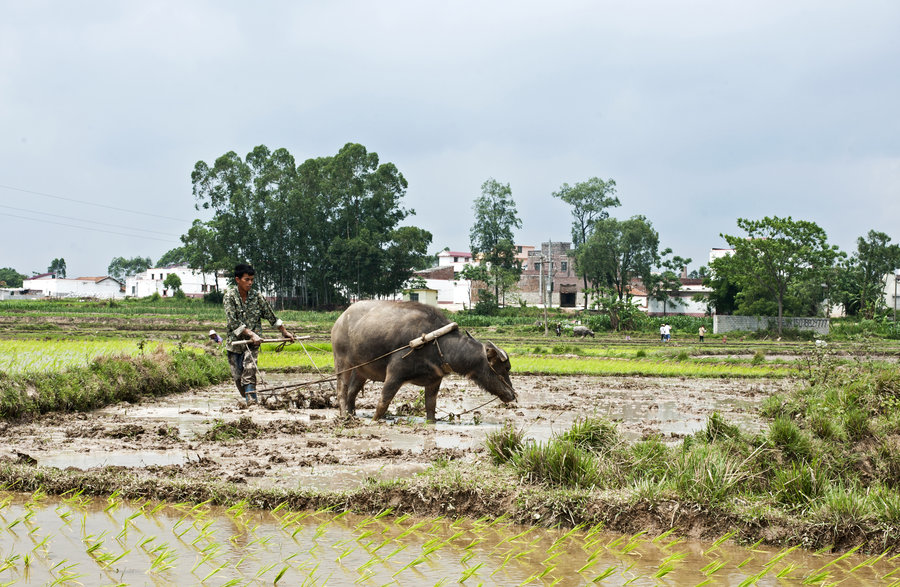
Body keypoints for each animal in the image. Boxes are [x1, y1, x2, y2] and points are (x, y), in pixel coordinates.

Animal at [330, 300, 516, 420]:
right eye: (505, 368)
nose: (513, 395)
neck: (436, 344)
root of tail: (340, 320)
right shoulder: (394, 375)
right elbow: (383, 402)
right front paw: (376, 420)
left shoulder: (434, 381)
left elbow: (430, 406)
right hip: (342, 363)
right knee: (341, 390)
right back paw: (343, 416)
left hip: (361, 370)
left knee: (352, 392)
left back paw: (351, 414)